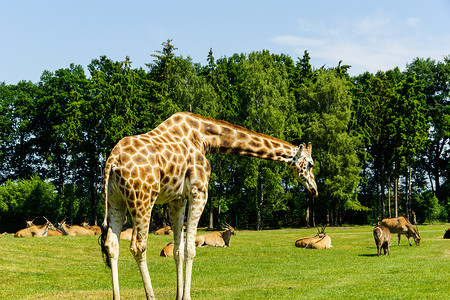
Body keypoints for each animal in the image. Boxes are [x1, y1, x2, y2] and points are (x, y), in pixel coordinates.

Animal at [100, 111, 318, 298]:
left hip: (115, 200)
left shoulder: (177, 199)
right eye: (310, 164)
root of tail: (112, 161)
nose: (314, 190)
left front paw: (178, 295)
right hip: (143, 197)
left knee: (112, 244)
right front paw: (186, 296)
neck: (205, 138)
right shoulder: (199, 191)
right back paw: (150, 295)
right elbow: (190, 248)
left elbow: (178, 249)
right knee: (138, 246)